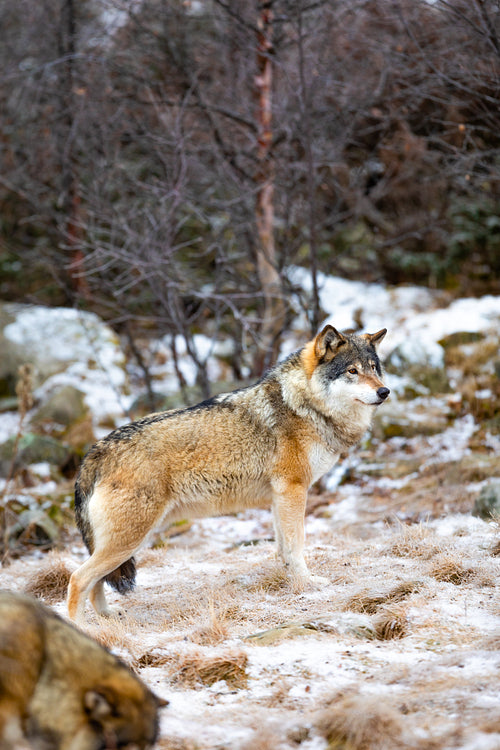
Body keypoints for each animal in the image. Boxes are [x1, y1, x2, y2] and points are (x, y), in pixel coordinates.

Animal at [66, 324, 388, 624]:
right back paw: (82, 629)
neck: (304, 406)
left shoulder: (279, 497)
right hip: (129, 540)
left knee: (94, 583)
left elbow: (283, 548)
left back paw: (108, 620)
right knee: (77, 579)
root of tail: (95, 451)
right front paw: (306, 583)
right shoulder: (293, 489)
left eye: (374, 368)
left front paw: (291, 582)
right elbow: (297, 545)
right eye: (352, 371)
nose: (384, 391)